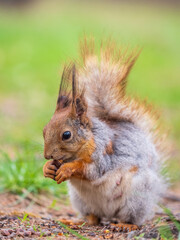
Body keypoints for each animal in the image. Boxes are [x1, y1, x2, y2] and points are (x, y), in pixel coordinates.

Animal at [43, 38, 169, 230]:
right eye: (44, 130)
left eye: (66, 135)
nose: (47, 155)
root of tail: (110, 214)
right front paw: (48, 167)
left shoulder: (103, 154)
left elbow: (91, 170)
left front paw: (67, 169)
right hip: (81, 201)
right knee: (93, 218)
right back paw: (76, 221)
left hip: (137, 197)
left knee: (132, 218)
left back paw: (126, 225)